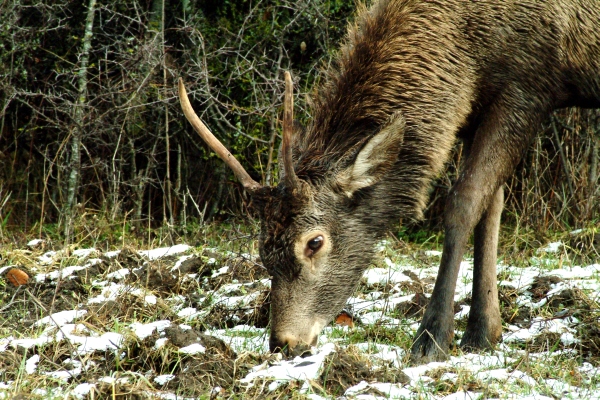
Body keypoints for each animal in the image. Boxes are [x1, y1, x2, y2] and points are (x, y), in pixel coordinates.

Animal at [178, 0, 600, 362]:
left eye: (314, 242)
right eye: (263, 250)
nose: (283, 343)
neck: (470, 45)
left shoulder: (528, 87)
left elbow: (465, 201)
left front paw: (432, 338)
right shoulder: (478, 104)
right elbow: (491, 207)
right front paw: (484, 333)